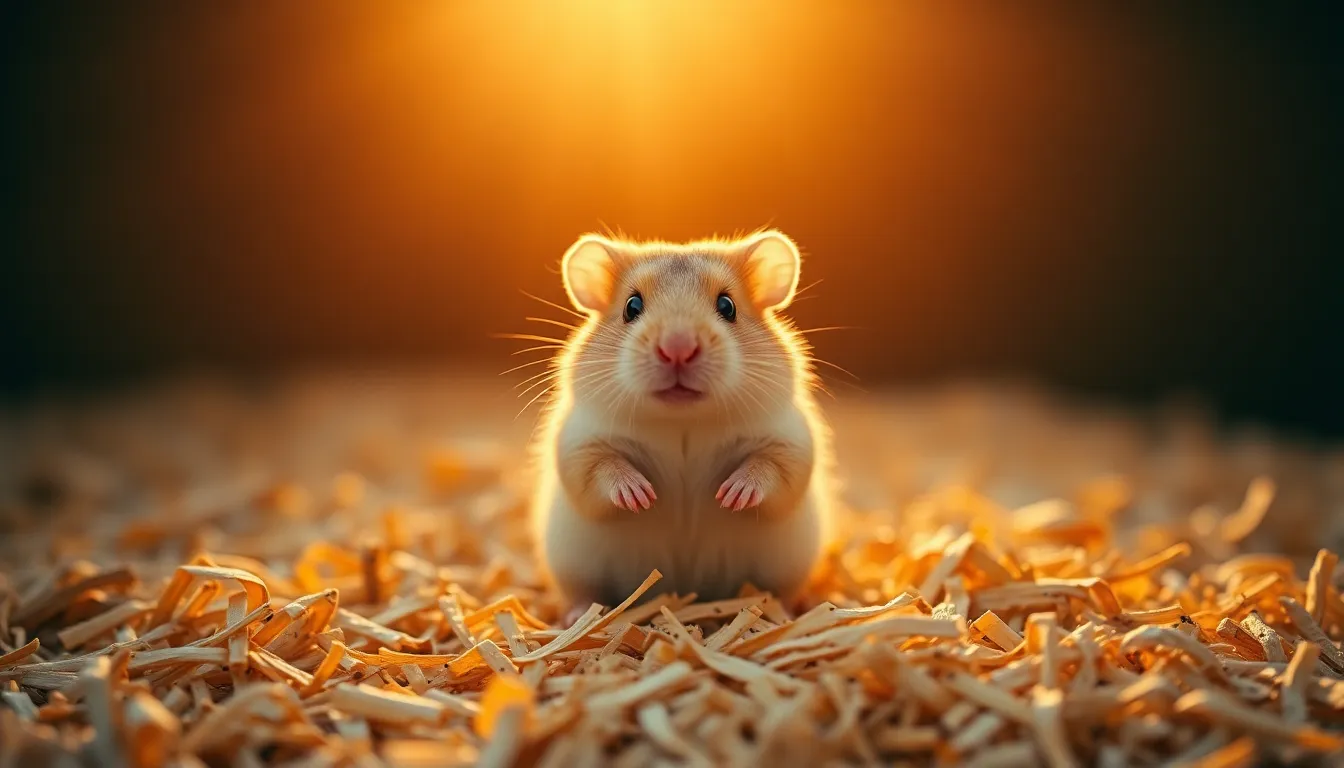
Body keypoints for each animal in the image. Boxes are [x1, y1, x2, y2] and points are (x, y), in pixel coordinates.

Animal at [528, 230, 837, 610]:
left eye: (727, 306)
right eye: (632, 307)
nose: (678, 348)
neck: (682, 422)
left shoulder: (790, 439)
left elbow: (771, 467)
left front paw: (732, 496)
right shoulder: (580, 441)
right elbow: (601, 467)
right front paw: (640, 496)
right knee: (583, 594)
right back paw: (577, 614)